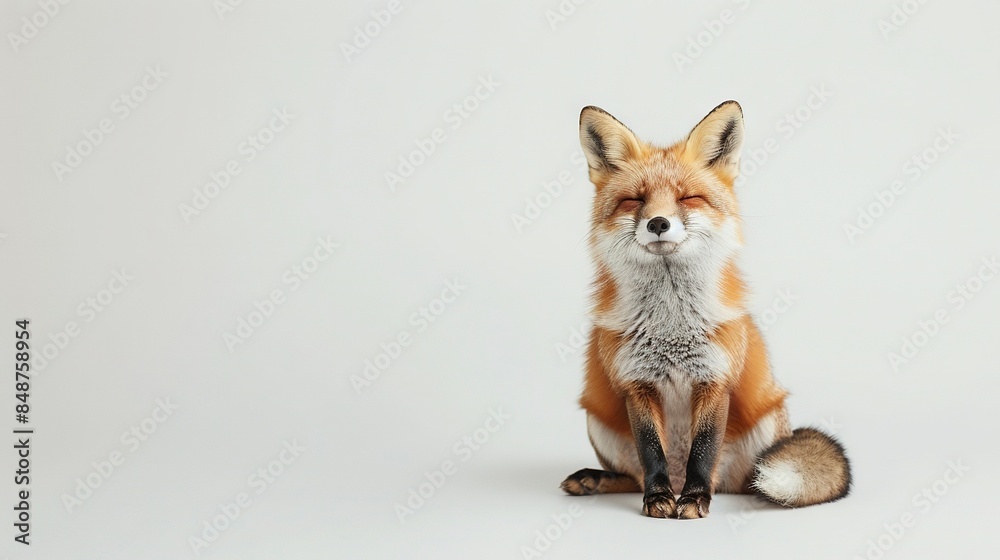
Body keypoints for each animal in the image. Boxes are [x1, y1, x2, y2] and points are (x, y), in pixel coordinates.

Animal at [560, 101, 851, 519]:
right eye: (635, 200)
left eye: (687, 198)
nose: (658, 223)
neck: (671, 325)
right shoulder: (636, 384)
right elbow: (651, 453)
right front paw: (658, 498)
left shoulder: (715, 379)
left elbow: (703, 450)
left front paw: (694, 499)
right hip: (597, 418)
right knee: (634, 475)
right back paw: (599, 479)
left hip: (763, 433)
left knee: (749, 480)